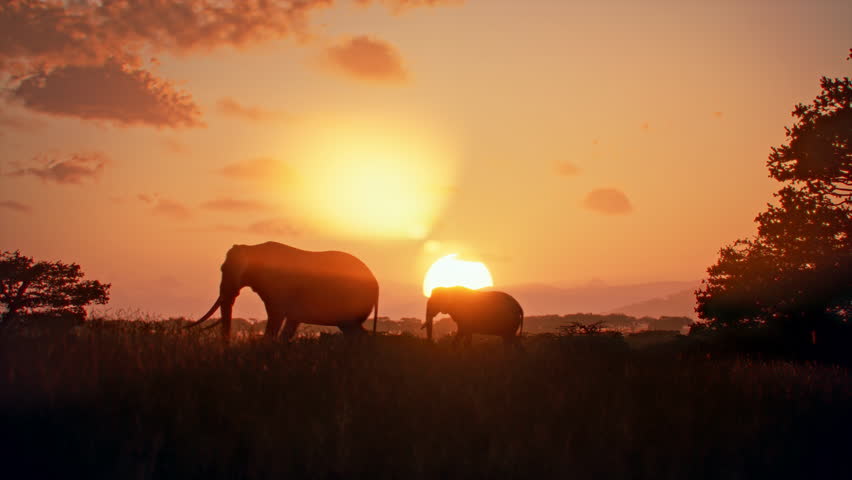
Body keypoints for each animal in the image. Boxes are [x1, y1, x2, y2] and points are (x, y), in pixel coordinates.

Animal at [186, 242, 379, 342]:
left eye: (223, 269)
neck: (251, 248)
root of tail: (376, 285)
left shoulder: (277, 287)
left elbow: (276, 316)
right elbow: (290, 322)